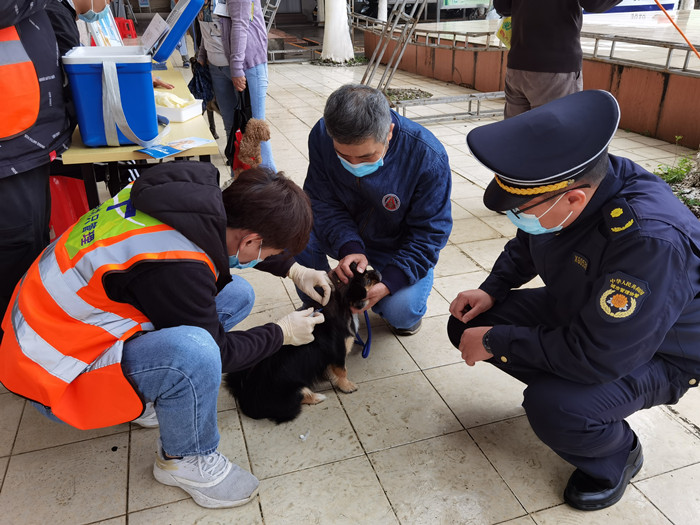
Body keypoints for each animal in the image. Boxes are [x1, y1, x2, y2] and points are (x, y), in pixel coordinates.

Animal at [224, 262, 380, 422]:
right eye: (367, 279)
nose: (377, 271)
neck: (339, 302)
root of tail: (245, 400)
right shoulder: (338, 354)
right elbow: (342, 371)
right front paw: (347, 386)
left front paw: (330, 376)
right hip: (296, 390)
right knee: (302, 398)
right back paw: (317, 397)